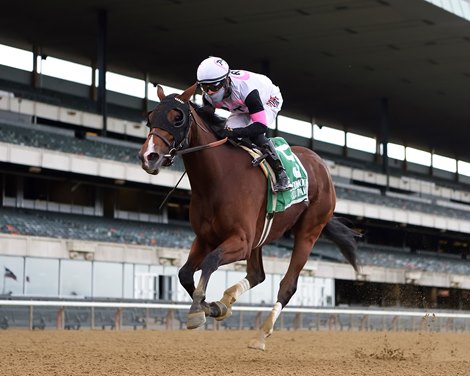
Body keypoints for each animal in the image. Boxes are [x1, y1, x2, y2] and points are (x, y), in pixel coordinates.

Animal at [138, 84, 358, 350]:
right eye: (150, 117)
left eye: (177, 117)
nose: (148, 156)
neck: (217, 179)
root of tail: (321, 165)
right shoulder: (205, 238)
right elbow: (184, 273)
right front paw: (211, 307)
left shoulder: (240, 241)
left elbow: (210, 262)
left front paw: (198, 310)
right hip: (260, 236)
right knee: (257, 274)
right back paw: (227, 299)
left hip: (309, 231)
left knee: (287, 285)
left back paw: (261, 334)